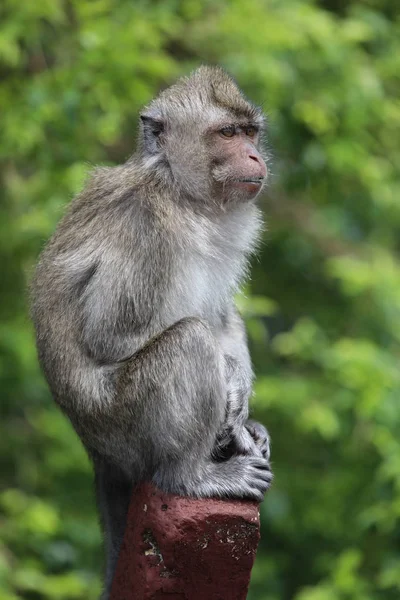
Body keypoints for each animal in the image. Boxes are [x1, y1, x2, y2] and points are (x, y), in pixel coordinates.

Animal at [30, 65, 272, 596]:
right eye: (227, 133)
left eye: (250, 132)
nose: (255, 155)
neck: (181, 195)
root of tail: (95, 451)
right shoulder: (143, 226)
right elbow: (113, 336)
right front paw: (229, 388)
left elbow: (223, 315)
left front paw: (241, 401)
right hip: (124, 428)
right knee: (189, 340)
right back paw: (191, 475)